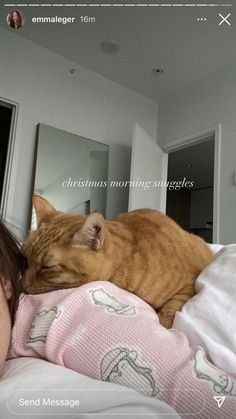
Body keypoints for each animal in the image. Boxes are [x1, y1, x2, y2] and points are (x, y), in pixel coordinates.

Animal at [22, 195, 214, 330]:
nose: (22, 284)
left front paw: (163, 326)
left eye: (47, 267)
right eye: (25, 259)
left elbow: (169, 311)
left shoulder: (189, 284)